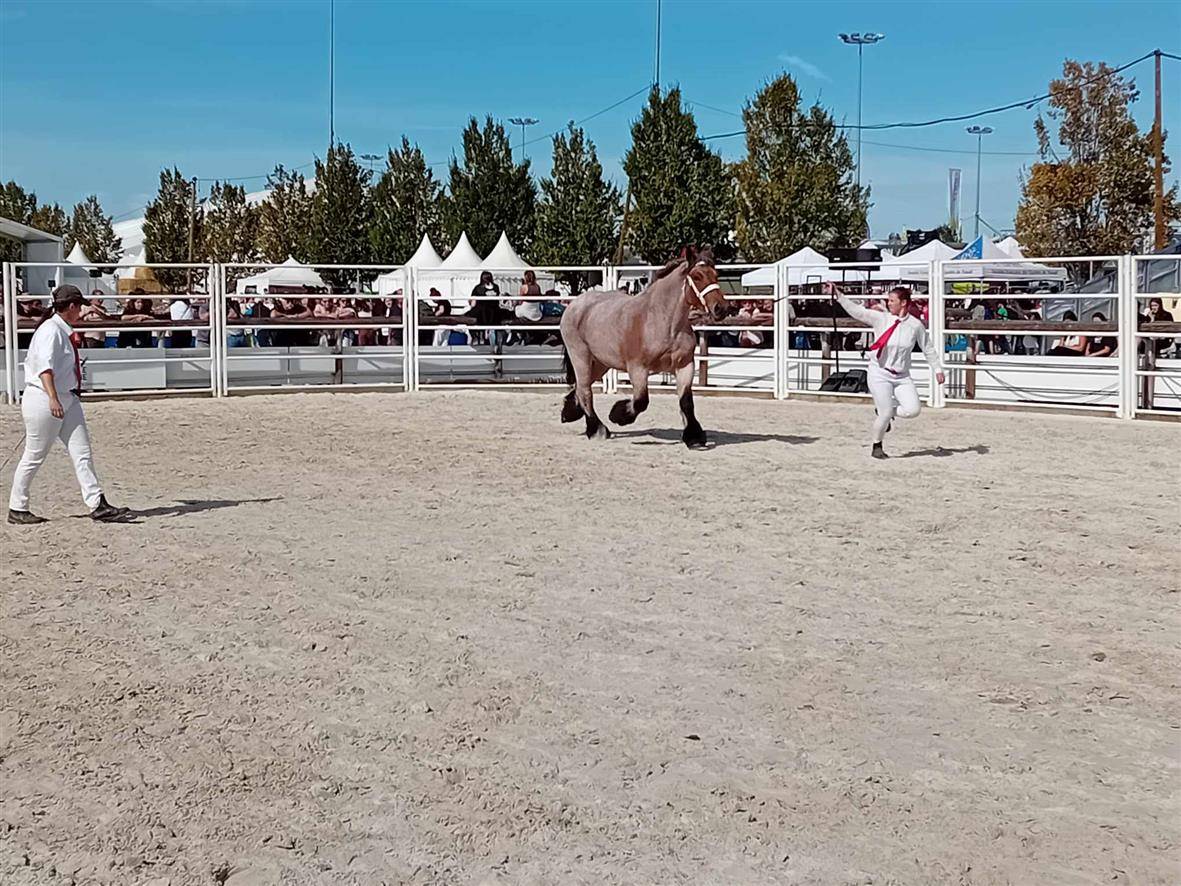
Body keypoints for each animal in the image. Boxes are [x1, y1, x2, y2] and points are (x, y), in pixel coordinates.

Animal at [559, 245, 728, 449]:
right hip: (580, 357)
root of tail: (574, 305)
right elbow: (641, 401)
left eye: (716, 275)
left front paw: (694, 438)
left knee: (579, 388)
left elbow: (686, 402)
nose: (721, 308)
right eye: (696, 276)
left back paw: (570, 413)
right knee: (585, 391)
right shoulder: (637, 369)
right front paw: (618, 415)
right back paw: (597, 430)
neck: (664, 322)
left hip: (601, 363)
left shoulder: (685, 365)